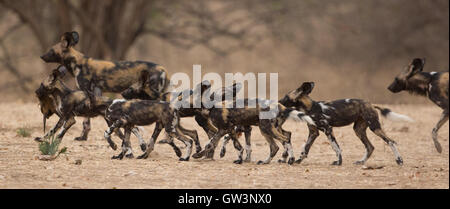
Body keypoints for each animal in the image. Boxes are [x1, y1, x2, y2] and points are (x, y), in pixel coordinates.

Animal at [38, 32, 168, 108]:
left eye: (51, 50)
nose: (41, 56)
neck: (77, 62)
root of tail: (162, 68)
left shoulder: (88, 91)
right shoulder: (97, 91)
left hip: (152, 94)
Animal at [280, 82, 414, 166]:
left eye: (286, 97)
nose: (279, 101)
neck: (310, 108)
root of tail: (370, 104)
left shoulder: (328, 129)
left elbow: (336, 147)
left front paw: (338, 162)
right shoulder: (314, 132)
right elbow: (305, 148)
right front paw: (298, 160)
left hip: (374, 127)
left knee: (391, 141)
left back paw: (399, 160)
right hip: (358, 130)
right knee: (370, 147)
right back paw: (361, 162)